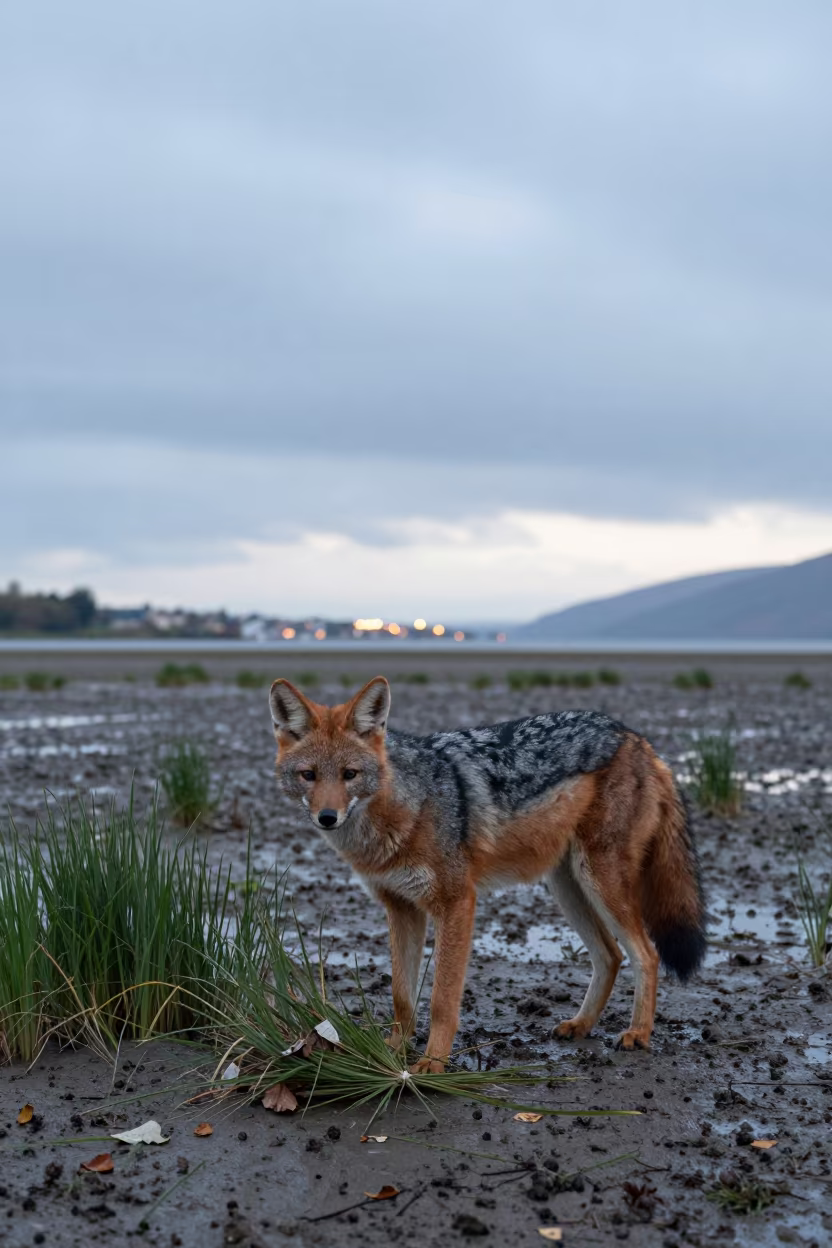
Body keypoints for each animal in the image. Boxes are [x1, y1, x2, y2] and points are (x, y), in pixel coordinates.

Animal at [269, 675, 706, 1072]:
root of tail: (636, 738)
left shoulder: (457, 902)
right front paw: (394, 1052)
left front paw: (432, 1063)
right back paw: (581, 1024)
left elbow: (442, 999)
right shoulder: (401, 908)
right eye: (309, 775)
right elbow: (401, 996)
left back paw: (639, 1033)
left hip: (600, 882)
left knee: (646, 954)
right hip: (568, 888)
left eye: (350, 774)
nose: (327, 817)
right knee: (610, 956)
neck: (405, 810)